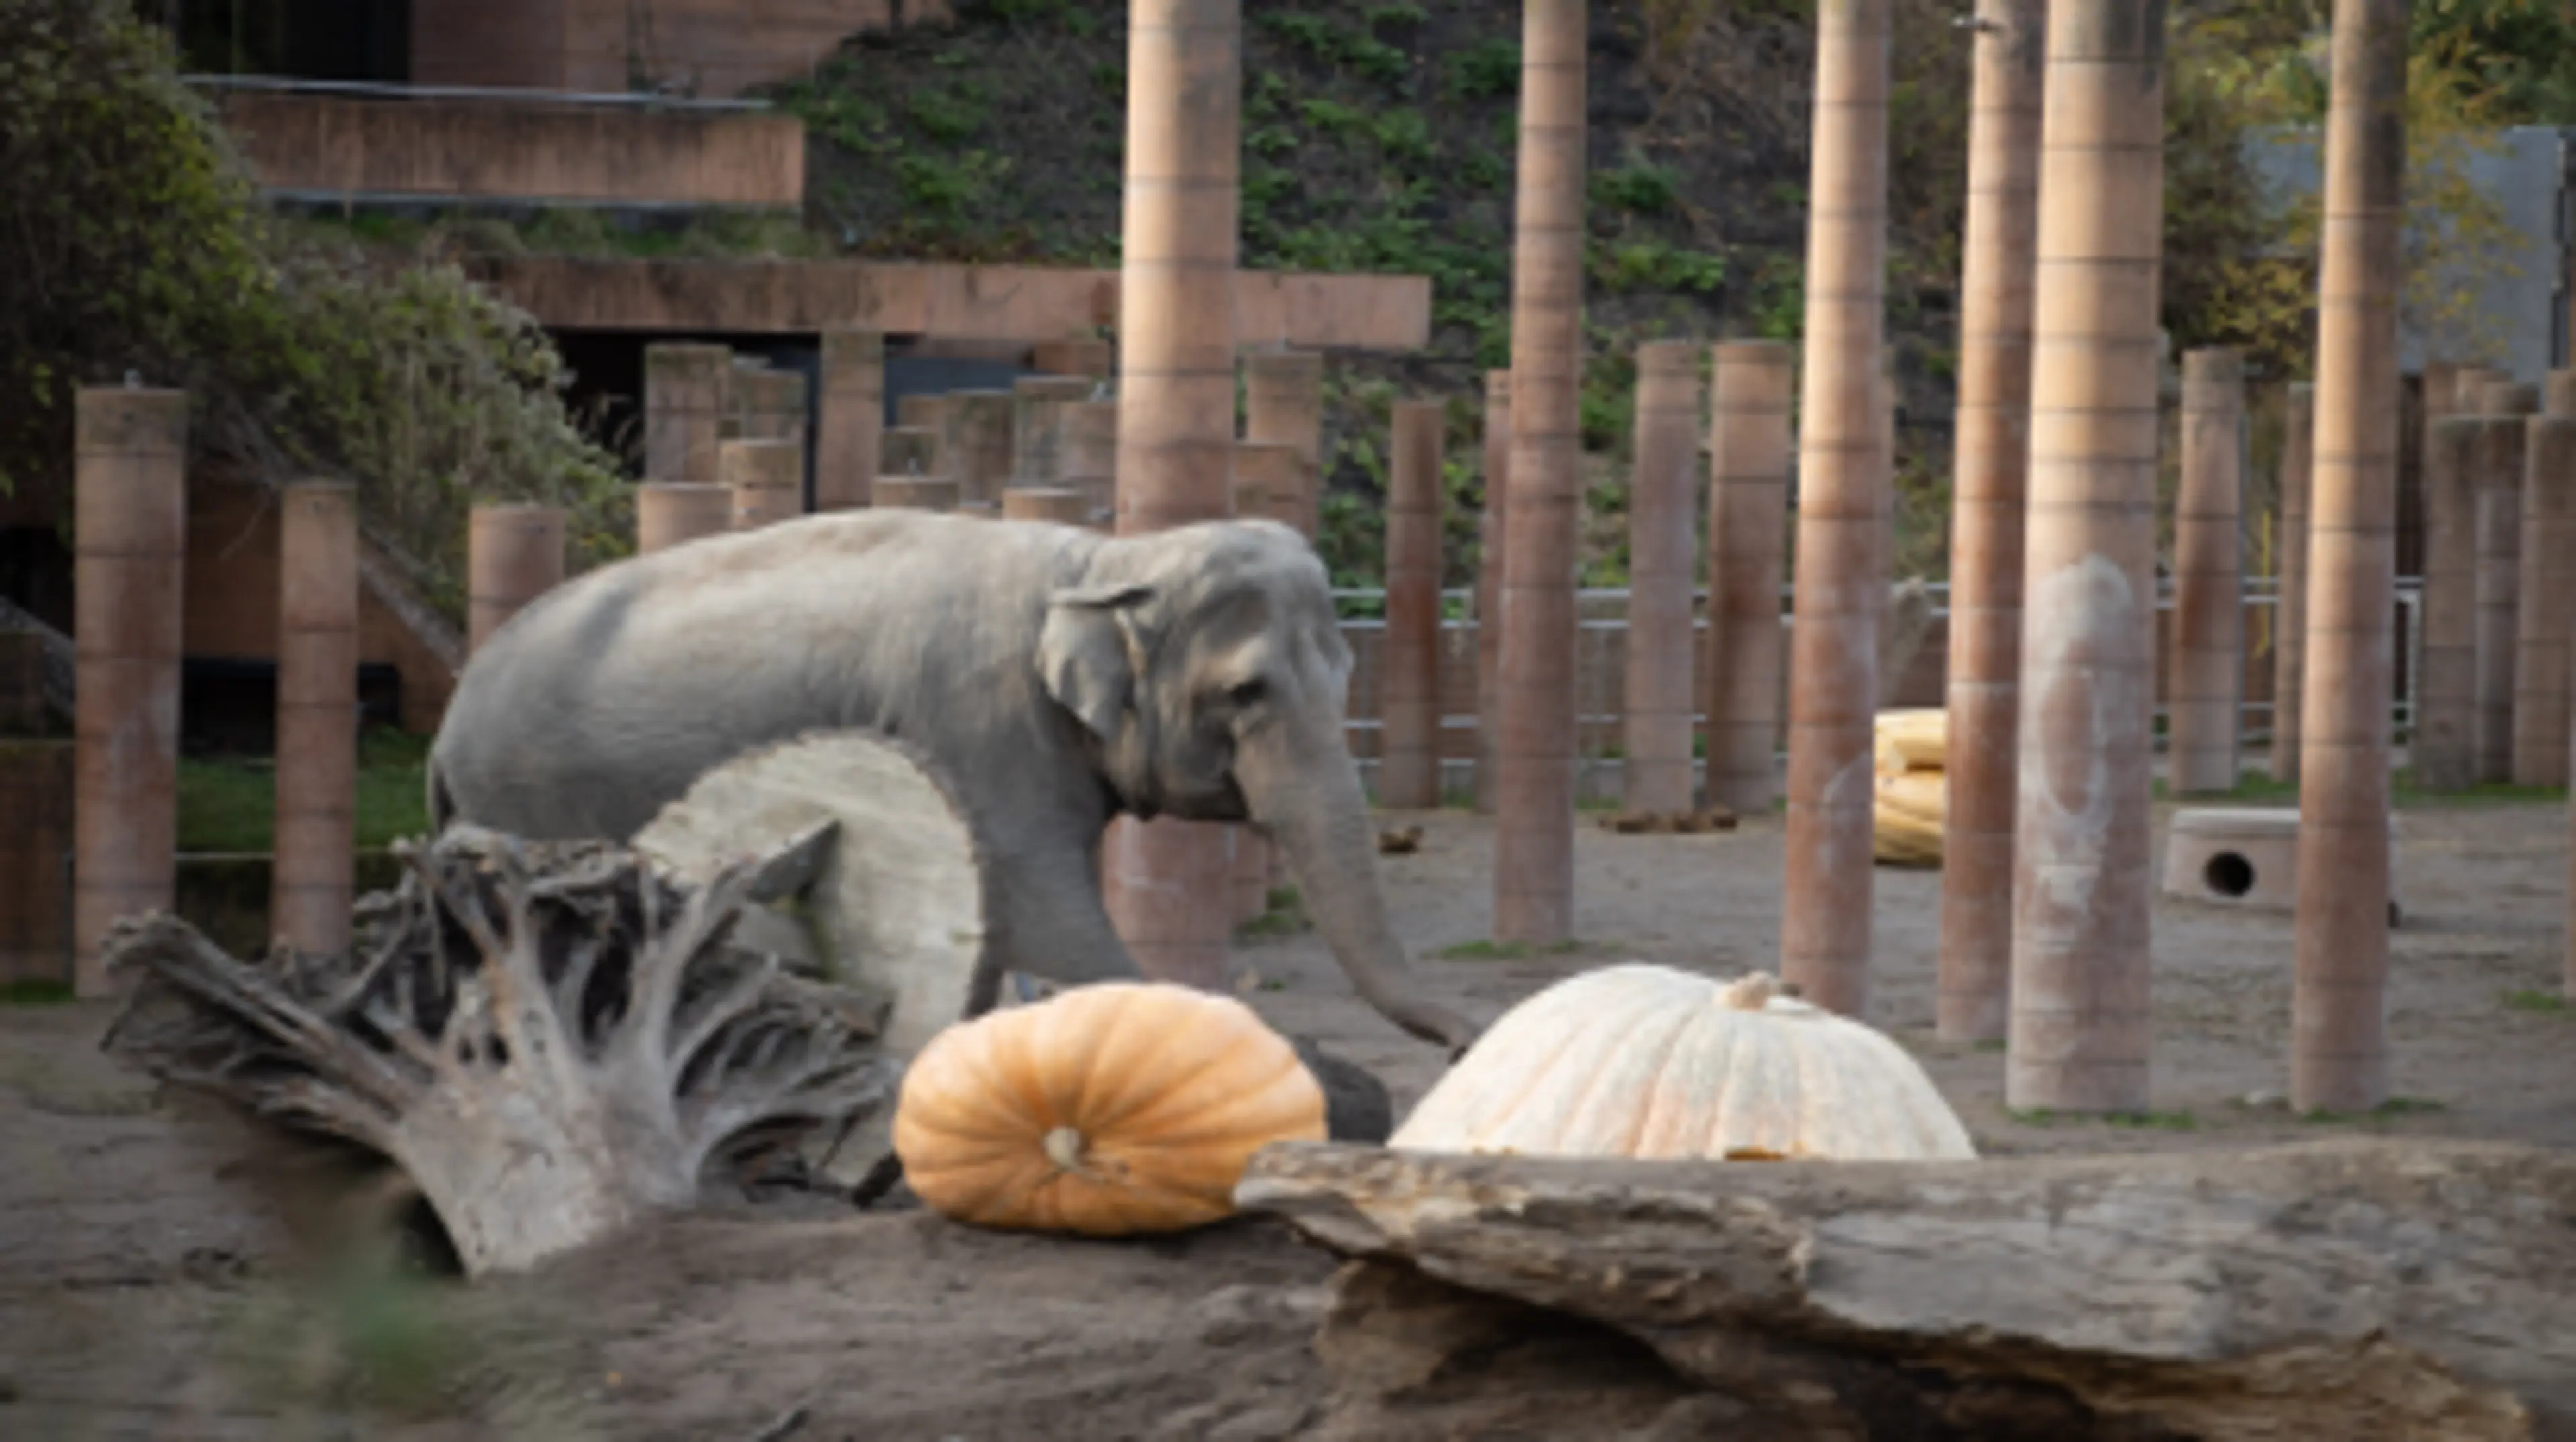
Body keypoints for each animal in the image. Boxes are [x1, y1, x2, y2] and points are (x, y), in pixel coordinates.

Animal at [425, 509, 1480, 1056]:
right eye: (1246, 691)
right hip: (531, 796)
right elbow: (1046, 913)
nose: (1467, 1036)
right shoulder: (982, 721)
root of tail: (446, 723)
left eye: (1346, 675)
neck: (1108, 558)